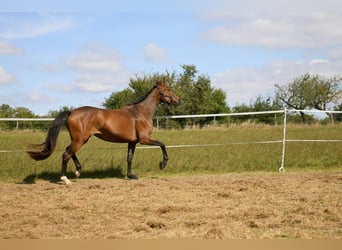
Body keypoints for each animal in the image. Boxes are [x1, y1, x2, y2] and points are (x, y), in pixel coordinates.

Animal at [26, 80, 179, 184]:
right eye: (168, 89)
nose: (178, 100)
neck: (141, 112)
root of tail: (72, 112)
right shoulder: (144, 139)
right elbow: (162, 144)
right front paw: (163, 164)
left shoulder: (133, 142)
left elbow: (129, 158)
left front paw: (131, 176)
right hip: (80, 139)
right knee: (66, 154)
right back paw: (65, 179)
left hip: (80, 139)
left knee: (68, 150)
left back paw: (78, 170)